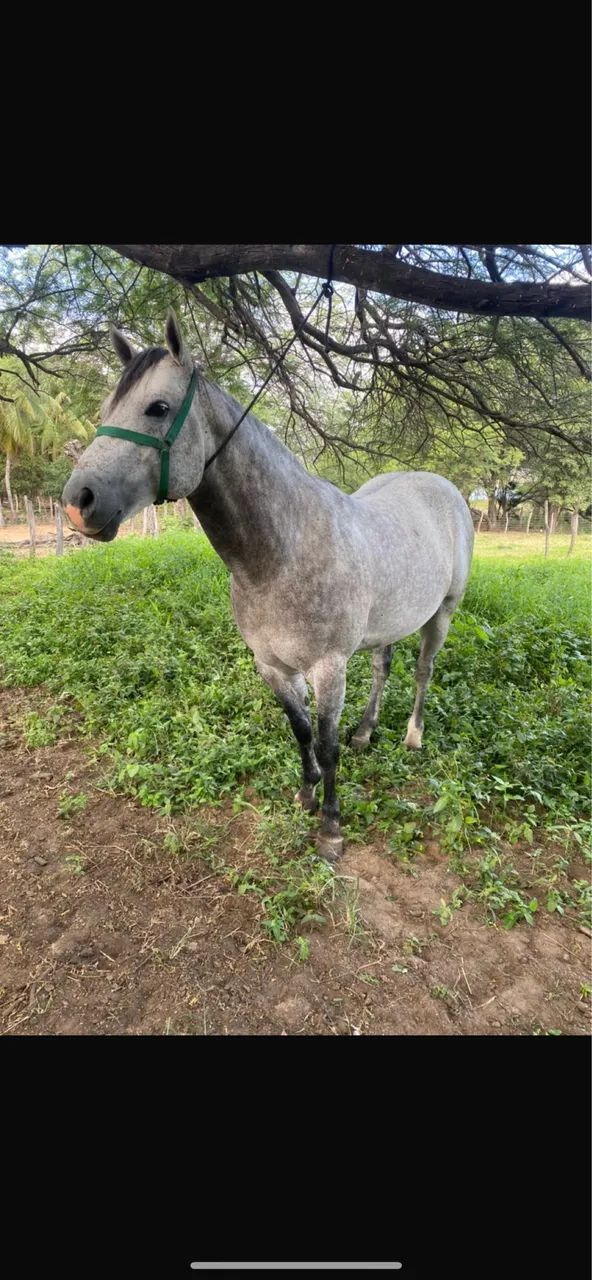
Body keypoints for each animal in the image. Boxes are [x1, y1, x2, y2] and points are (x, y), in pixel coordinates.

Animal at [62, 310, 474, 860]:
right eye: (107, 408)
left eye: (158, 408)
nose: (77, 501)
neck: (281, 554)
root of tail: (442, 486)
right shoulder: (273, 665)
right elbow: (300, 731)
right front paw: (306, 793)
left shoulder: (328, 668)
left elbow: (326, 743)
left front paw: (331, 828)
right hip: (387, 624)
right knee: (384, 667)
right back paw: (367, 733)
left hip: (443, 611)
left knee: (425, 671)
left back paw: (412, 737)